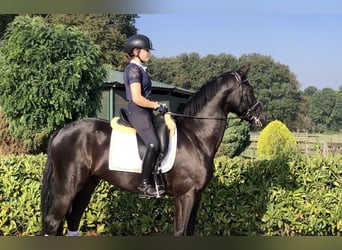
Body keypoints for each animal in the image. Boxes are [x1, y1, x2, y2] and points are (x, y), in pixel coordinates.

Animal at [39, 65, 264, 236]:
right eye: (249, 91)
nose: (262, 117)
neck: (196, 135)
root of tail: (62, 131)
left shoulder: (196, 196)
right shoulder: (185, 196)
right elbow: (180, 232)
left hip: (87, 185)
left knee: (72, 221)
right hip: (67, 188)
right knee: (53, 222)